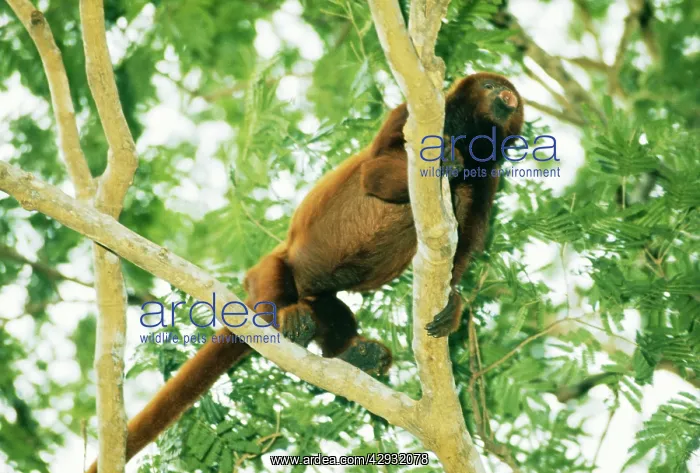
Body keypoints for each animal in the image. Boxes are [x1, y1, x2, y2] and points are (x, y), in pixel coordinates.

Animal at [86, 72, 523, 473]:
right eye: (489, 87)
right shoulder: (409, 116)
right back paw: (289, 317)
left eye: (510, 93)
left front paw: (453, 302)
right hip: (268, 270)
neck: (466, 134)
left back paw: (354, 354)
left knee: (333, 309)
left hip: (319, 296)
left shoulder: (490, 175)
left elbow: (465, 240)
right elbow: (375, 171)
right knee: (276, 288)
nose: (506, 96)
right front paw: (445, 162)